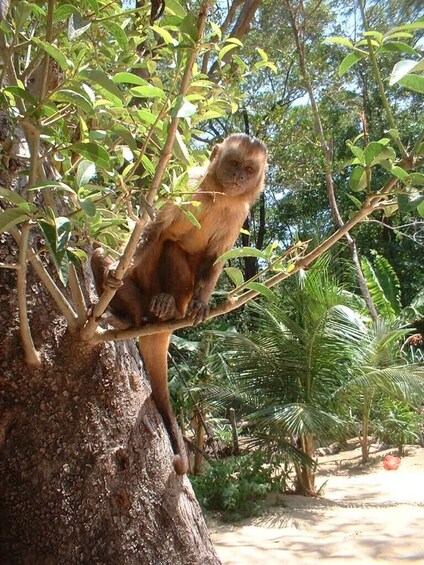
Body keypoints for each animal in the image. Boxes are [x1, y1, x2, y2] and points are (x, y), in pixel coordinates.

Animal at [91, 134, 266, 474]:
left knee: (176, 252)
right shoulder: (191, 181)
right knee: (130, 250)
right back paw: (132, 315)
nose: (238, 177)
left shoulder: (238, 213)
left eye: (249, 169)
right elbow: (155, 228)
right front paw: (119, 265)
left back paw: (168, 307)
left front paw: (202, 303)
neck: (218, 196)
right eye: (233, 163)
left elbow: (216, 258)